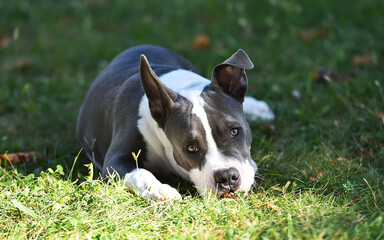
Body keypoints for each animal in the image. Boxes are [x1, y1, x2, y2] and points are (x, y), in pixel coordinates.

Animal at [76, 45, 272, 201]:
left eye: (234, 131)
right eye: (191, 148)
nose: (227, 176)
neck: (184, 88)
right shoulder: (115, 159)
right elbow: (140, 172)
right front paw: (158, 189)